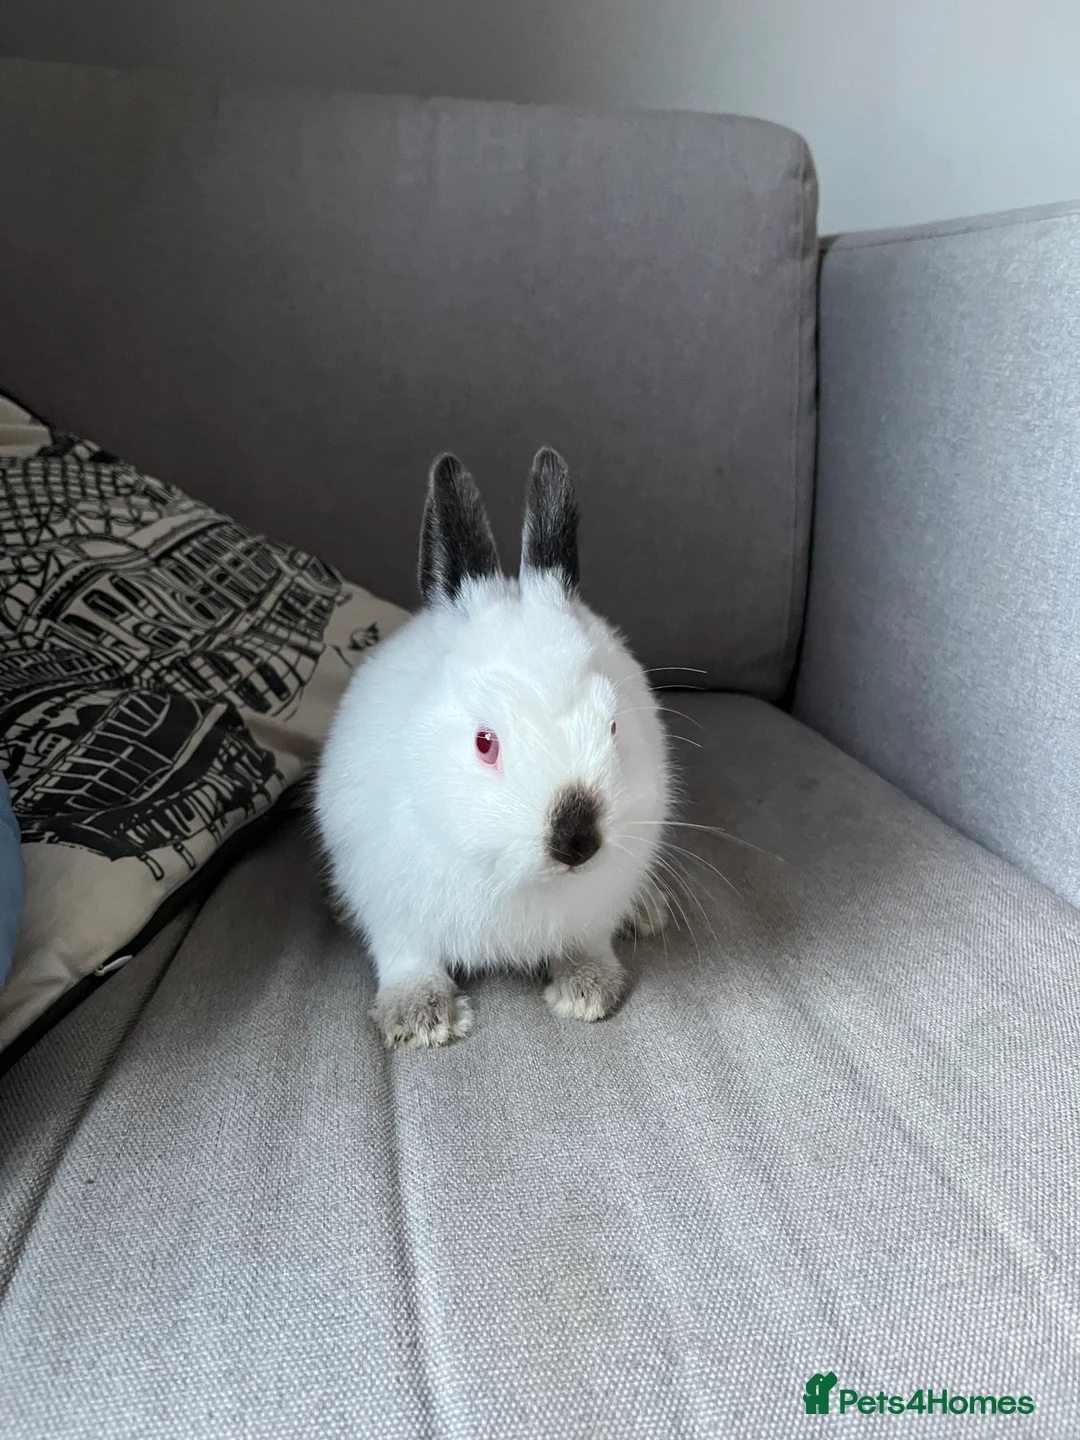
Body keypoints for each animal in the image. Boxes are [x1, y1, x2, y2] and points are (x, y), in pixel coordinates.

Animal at [314, 447, 671, 1048]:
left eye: (613, 727)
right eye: (485, 744)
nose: (578, 841)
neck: (515, 877)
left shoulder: (598, 901)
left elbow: (589, 940)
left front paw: (587, 990)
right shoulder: (393, 903)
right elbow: (405, 956)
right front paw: (421, 1020)